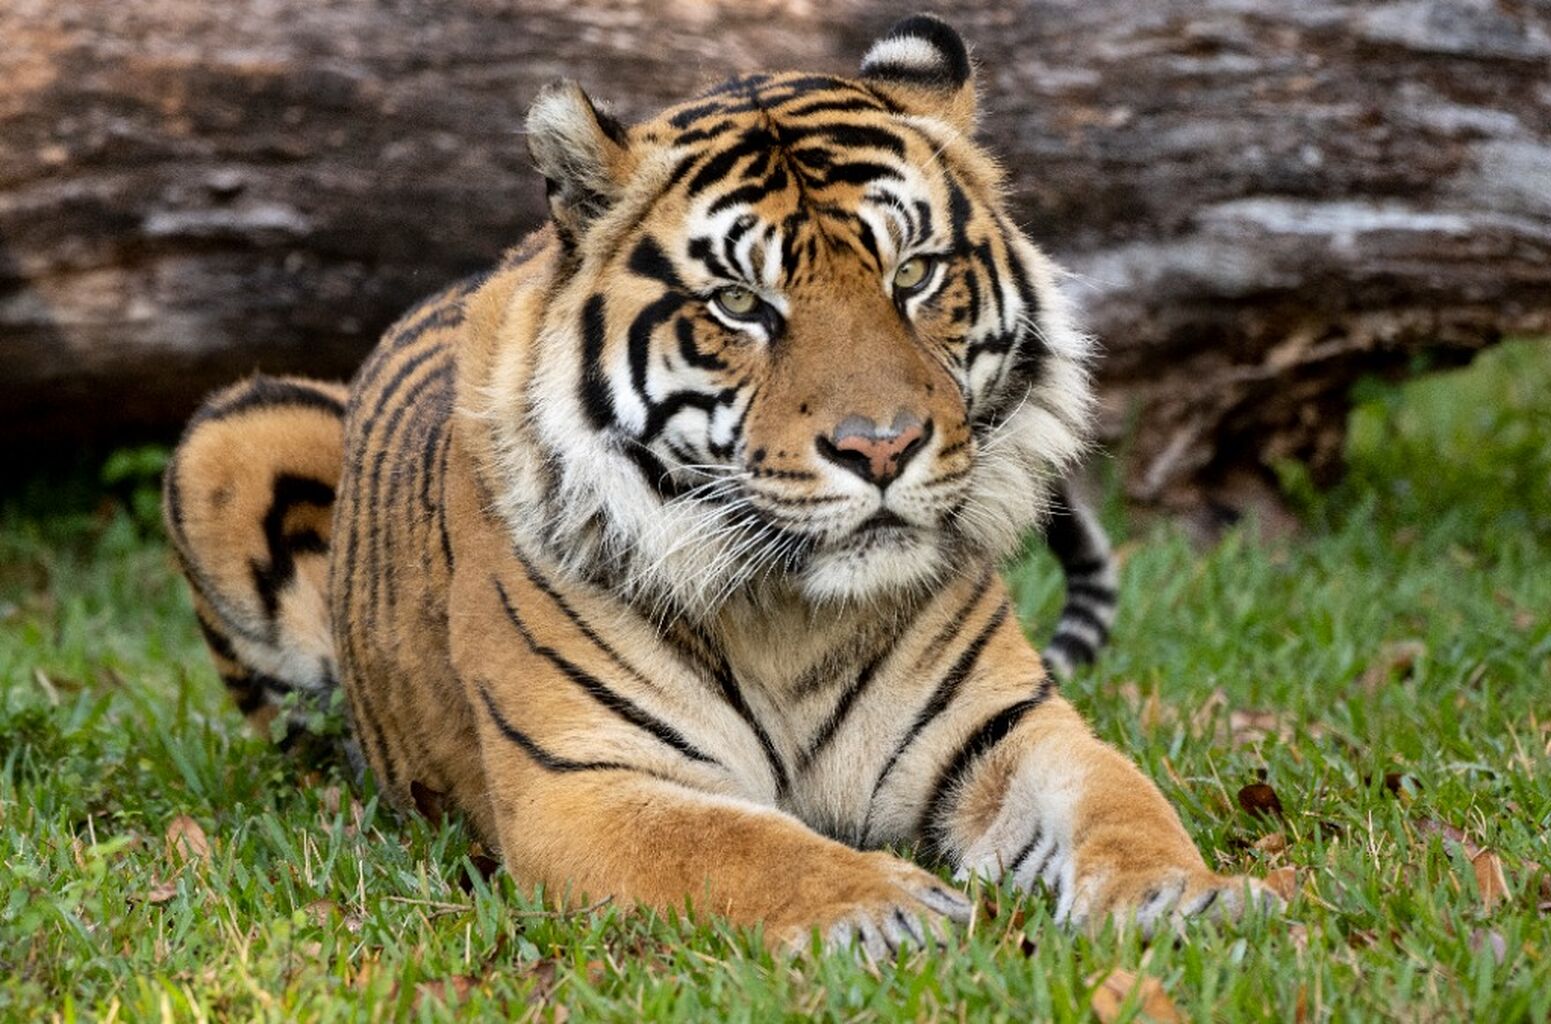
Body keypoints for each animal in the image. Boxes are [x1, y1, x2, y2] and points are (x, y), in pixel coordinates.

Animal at [162, 15, 1277, 955]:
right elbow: (740, 846)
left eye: (913, 274)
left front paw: (1184, 895)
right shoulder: (585, 783)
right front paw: (887, 907)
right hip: (224, 437)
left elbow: (1121, 799)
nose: (882, 447)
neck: (796, 616)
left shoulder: (1008, 725)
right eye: (742, 304)